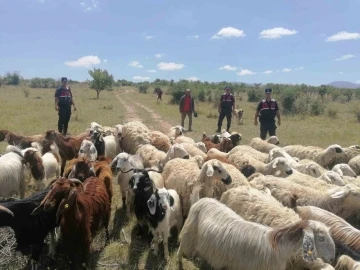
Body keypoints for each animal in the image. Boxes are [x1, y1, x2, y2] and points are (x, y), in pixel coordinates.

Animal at [177, 197, 334, 270]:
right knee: (180, 251)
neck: (280, 249)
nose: (332, 258)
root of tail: (203, 199)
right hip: (188, 235)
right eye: (321, 238)